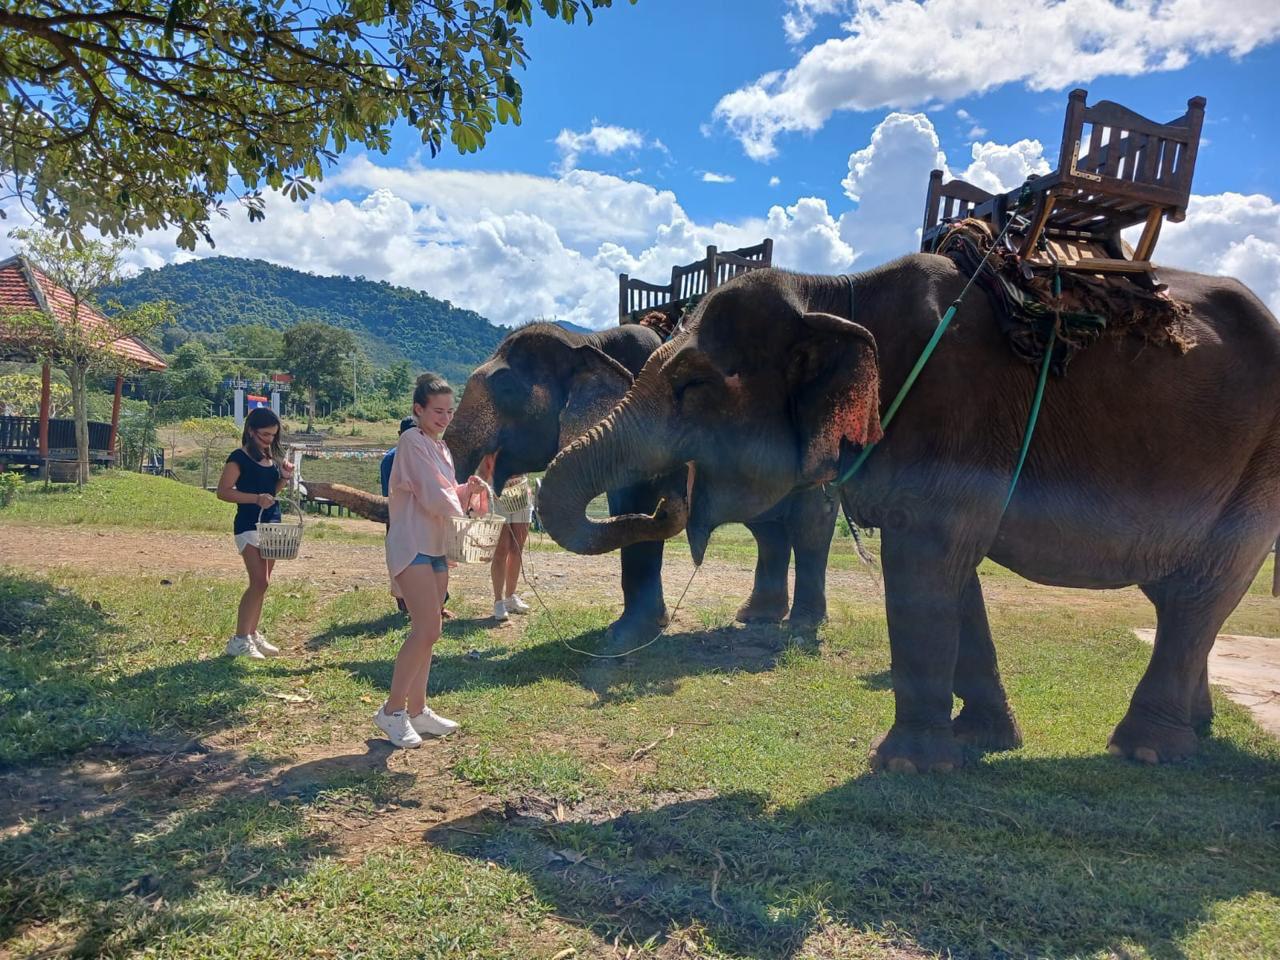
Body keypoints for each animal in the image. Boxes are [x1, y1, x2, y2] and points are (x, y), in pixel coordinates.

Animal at [443, 320, 840, 645]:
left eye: (507, 389)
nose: (674, 503)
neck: (588, 341)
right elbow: (626, 507)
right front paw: (636, 629)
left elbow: (638, 502)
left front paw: (625, 635)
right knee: (768, 529)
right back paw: (756, 616)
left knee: (809, 524)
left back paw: (802, 625)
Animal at [539, 262, 1280, 771]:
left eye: (693, 386)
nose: (666, 500)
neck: (838, 291)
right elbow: (955, 578)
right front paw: (981, 739)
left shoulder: (953, 413)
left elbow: (927, 560)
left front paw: (904, 763)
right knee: (1178, 594)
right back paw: (1197, 729)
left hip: (1259, 465)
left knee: (1202, 589)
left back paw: (1145, 749)